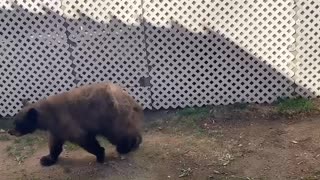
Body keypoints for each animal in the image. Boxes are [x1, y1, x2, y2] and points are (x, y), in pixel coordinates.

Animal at [7, 82, 143, 166]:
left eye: (17, 123)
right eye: (14, 122)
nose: (10, 132)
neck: (48, 115)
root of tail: (128, 97)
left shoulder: (66, 121)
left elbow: (84, 139)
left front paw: (100, 154)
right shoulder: (56, 128)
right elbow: (55, 145)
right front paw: (47, 159)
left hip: (111, 118)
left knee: (121, 134)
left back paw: (126, 147)